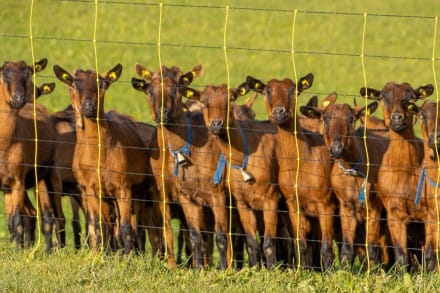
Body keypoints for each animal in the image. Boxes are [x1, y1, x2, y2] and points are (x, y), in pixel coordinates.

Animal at [52, 64, 150, 253]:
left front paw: (128, 257)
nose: (89, 106)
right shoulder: (90, 189)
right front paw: (101, 255)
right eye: (73, 84)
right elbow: (98, 226)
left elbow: (126, 228)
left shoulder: (123, 187)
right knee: (109, 225)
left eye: (102, 84)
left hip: (138, 192)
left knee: (137, 228)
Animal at [131, 64, 230, 270]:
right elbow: (167, 230)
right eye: (149, 91)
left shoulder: (213, 194)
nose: (162, 113)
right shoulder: (160, 192)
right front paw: (172, 266)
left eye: (177, 88)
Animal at [241, 74, 334, 270]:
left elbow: (326, 247)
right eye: (267, 91)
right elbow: (301, 244)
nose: (279, 112)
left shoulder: (326, 204)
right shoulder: (293, 204)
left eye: (293, 90)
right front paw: (305, 271)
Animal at [360, 82, 434, 270]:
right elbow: (401, 254)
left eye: (412, 97)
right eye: (382, 97)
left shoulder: (430, 213)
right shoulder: (394, 213)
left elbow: (430, 254)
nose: (397, 118)